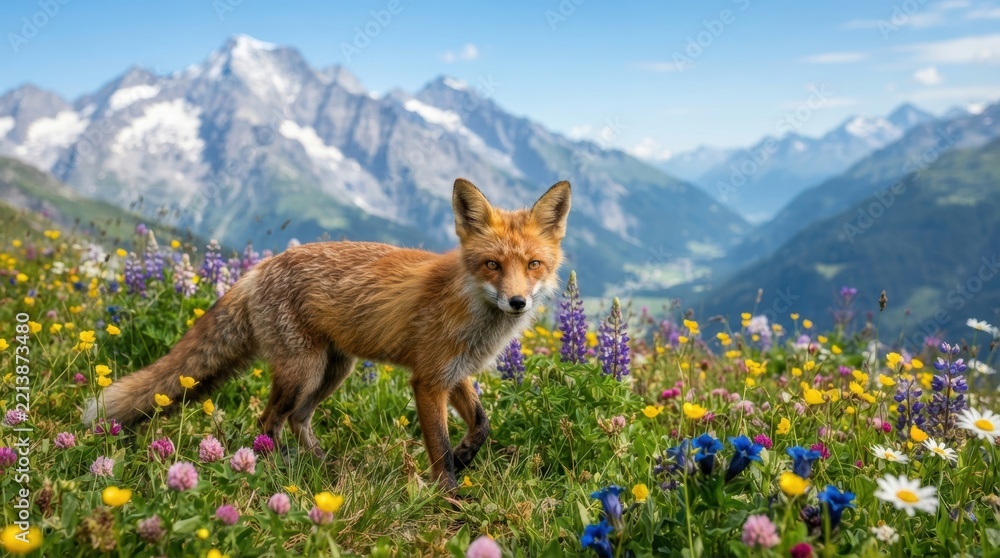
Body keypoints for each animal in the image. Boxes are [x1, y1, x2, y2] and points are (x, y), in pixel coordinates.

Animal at [83, 178, 571, 491]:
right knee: (269, 421)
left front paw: (468, 454)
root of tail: (259, 267)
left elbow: (482, 424)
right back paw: (275, 469)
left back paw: (322, 466)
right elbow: (439, 451)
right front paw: (450, 499)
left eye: (533, 265)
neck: (470, 306)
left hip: (334, 370)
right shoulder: (428, 381)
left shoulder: (456, 373)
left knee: (298, 419)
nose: (517, 302)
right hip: (303, 370)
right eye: (492, 264)